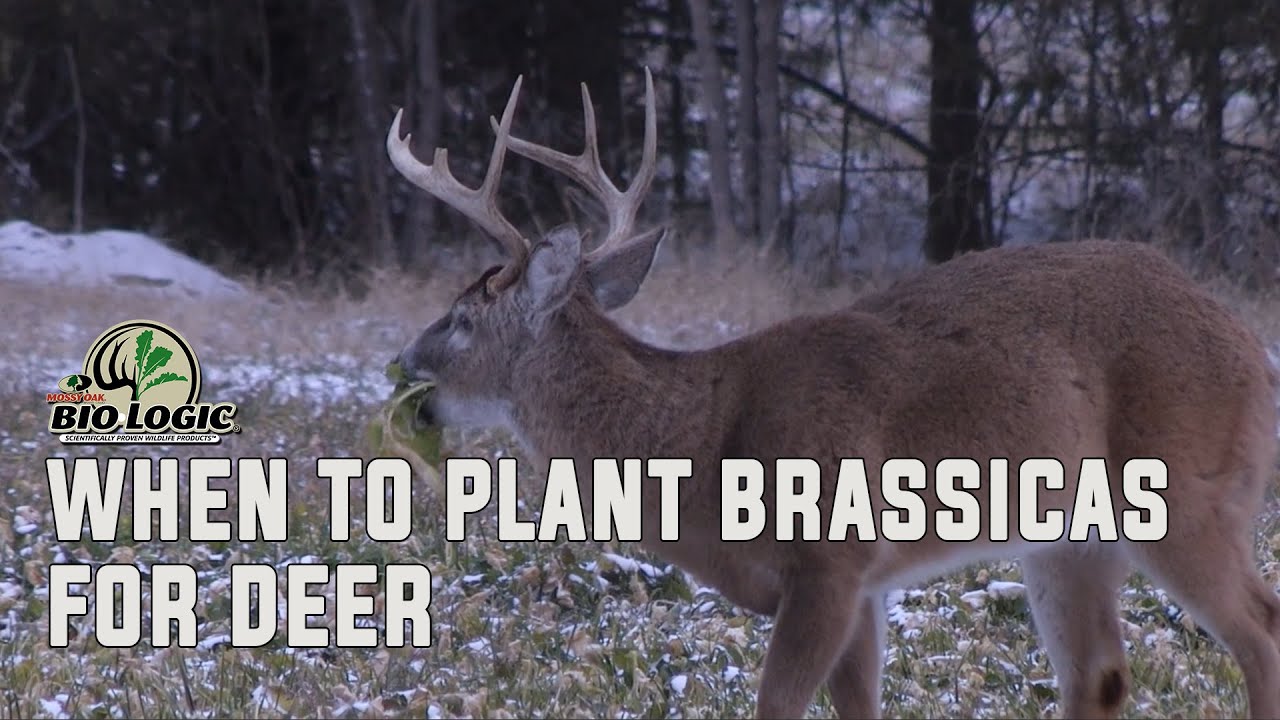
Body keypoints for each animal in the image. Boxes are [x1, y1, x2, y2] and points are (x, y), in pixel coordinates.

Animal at [385, 68, 1280, 720]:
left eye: (461, 319)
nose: (402, 365)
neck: (703, 444)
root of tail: (1250, 348)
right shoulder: (867, 585)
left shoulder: (829, 561)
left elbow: (777, 704)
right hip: (1068, 537)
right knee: (1099, 675)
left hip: (1187, 491)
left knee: (1260, 629)